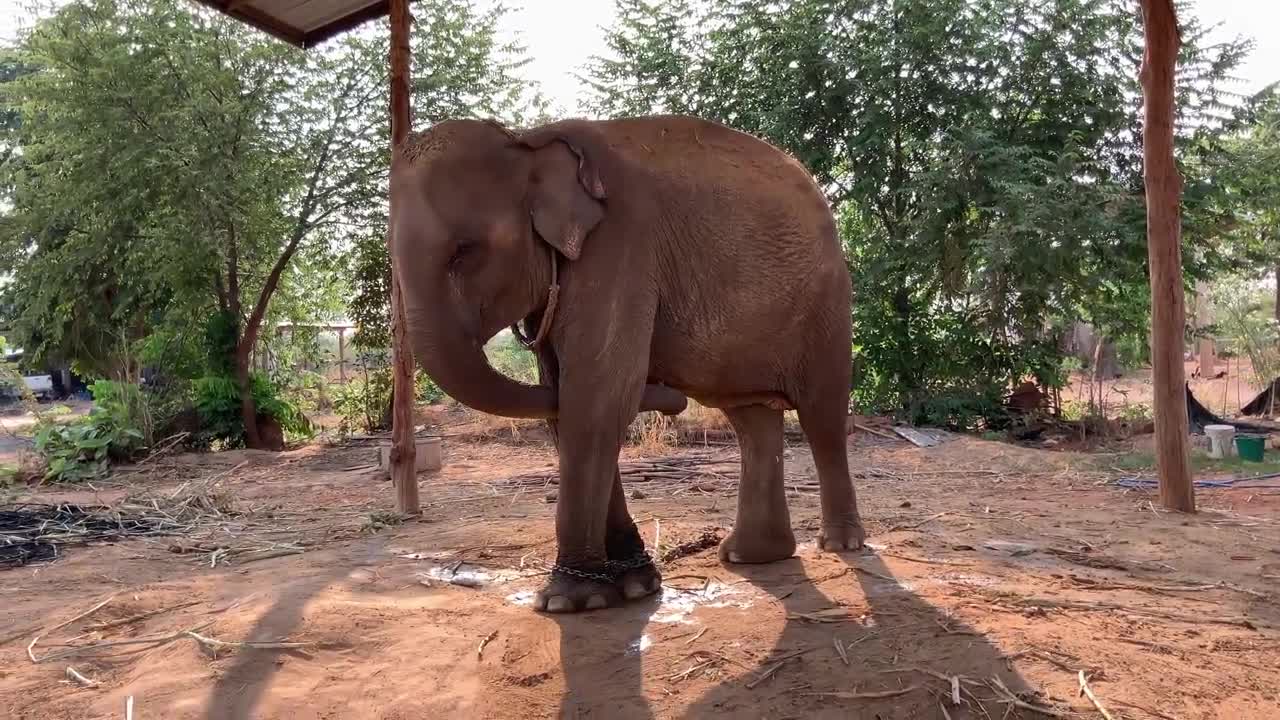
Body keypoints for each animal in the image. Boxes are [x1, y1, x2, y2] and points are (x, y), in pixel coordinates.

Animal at [390, 114, 865, 613]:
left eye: (465, 251)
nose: (672, 398)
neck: (529, 141)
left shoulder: (620, 245)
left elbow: (599, 395)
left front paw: (566, 602)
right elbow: (567, 399)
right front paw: (634, 585)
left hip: (827, 301)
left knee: (821, 415)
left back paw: (840, 544)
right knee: (751, 419)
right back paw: (749, 556)